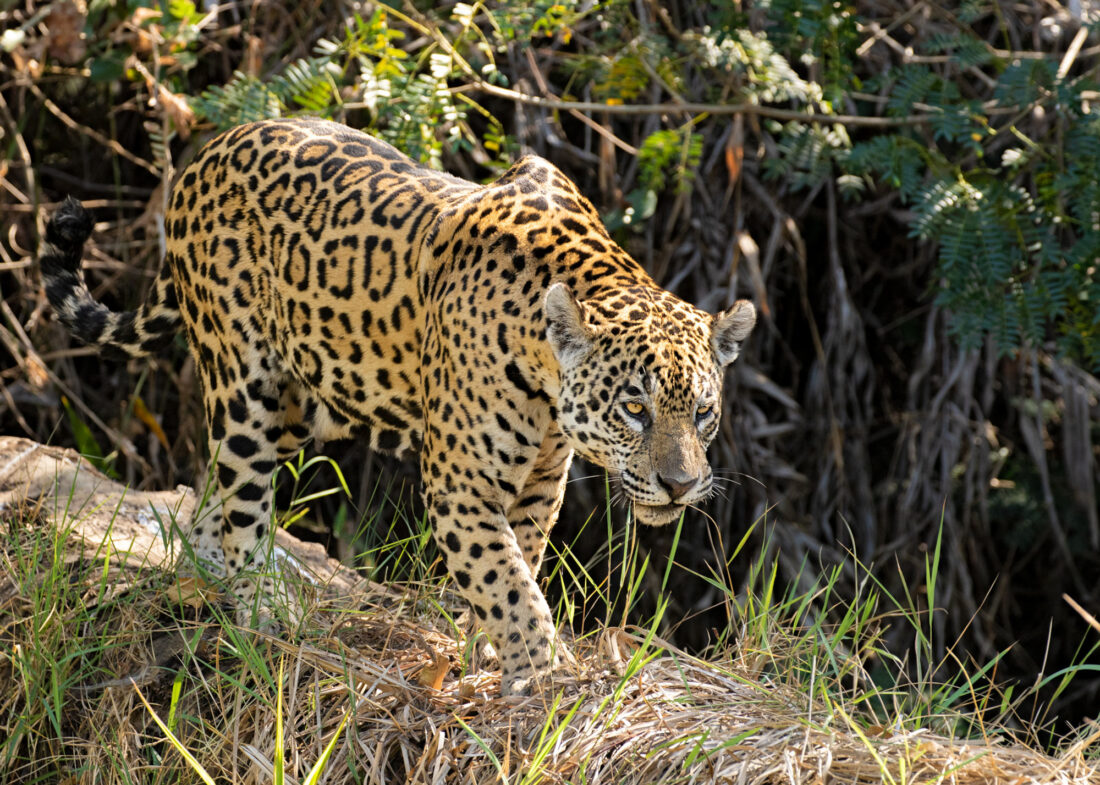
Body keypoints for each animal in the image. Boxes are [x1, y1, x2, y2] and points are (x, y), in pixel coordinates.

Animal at [38, 117, 756, 695]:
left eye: (703, 413)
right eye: (634, 407)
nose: (681, 485)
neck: (545, 369)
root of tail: (207, 151)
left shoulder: (539, 484)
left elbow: (513, 566)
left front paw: (489, 653)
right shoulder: (462, 484)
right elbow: (507, 582)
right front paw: (541, 675)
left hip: (300, 404)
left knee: (211, 507)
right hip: (245, 386)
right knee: (240, 507)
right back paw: (262, 614)